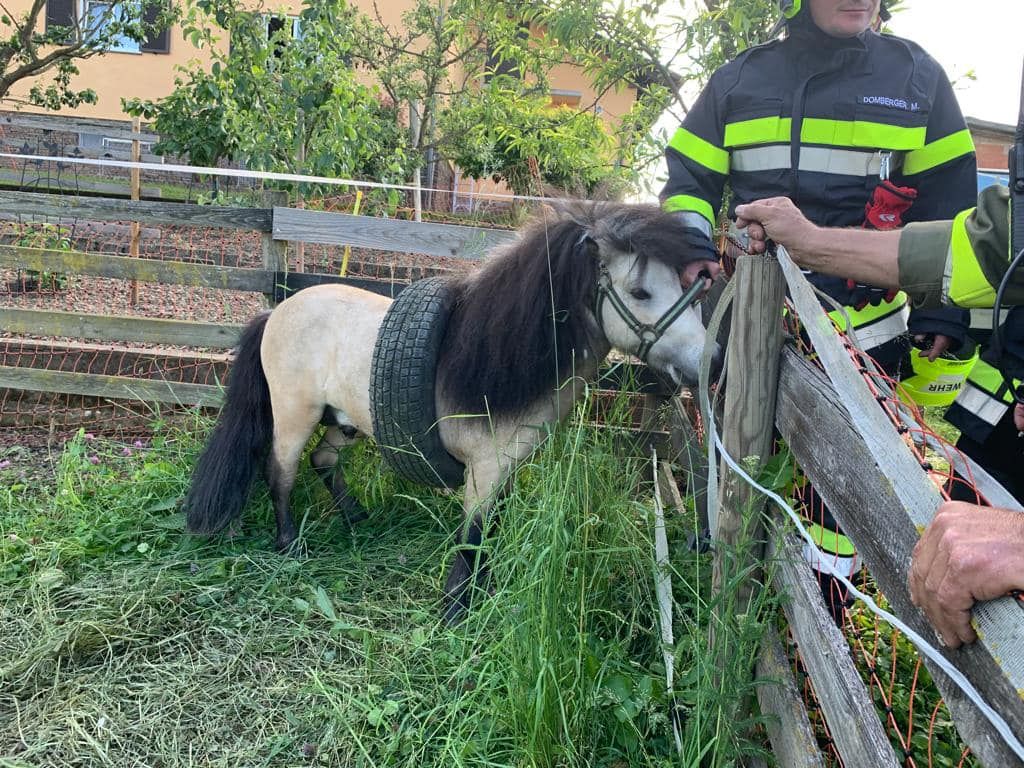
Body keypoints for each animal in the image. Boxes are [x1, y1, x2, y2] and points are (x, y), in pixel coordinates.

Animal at [183, 201, 719, 622]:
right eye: (641, 292)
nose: (708, 363)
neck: (491, 359)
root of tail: (275, 311)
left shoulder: (507, 469)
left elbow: (491, 532)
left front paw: (486, 588)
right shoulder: (483, 471)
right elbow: (472, 537)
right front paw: (458, 608)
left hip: (347, 421)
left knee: (324, 461)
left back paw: (355, 516)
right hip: (295, 417)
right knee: (282, 472)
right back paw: (289, 541)